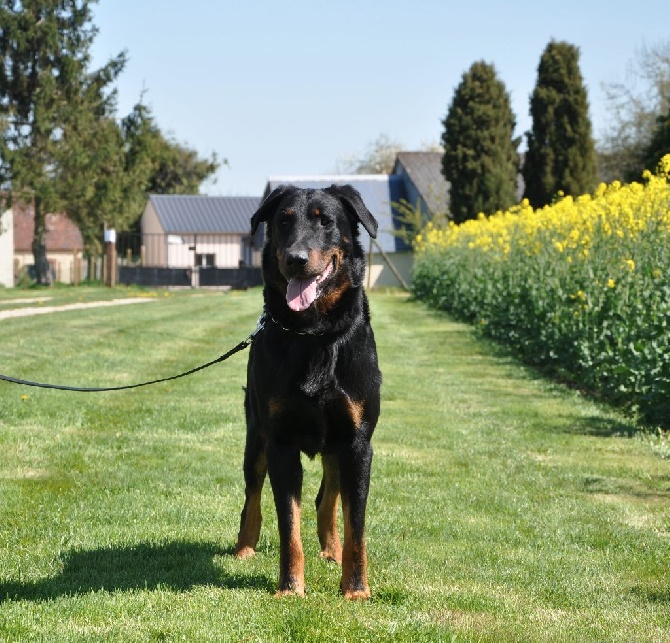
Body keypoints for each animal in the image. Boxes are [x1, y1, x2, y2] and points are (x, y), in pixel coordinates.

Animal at [235, 182, 384, 600]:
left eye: (325, 221)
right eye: (283, 222)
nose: (296, 259)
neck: (316, 334)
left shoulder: (358, 443)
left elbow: (356, 526)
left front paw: (356, 588)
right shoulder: (280, 442)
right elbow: (289, 524)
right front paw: (290, 587)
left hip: (337, 447)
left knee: (328, 496)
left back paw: (331, 550)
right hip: (255, 435)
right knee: (252, 492)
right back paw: (244, 547)